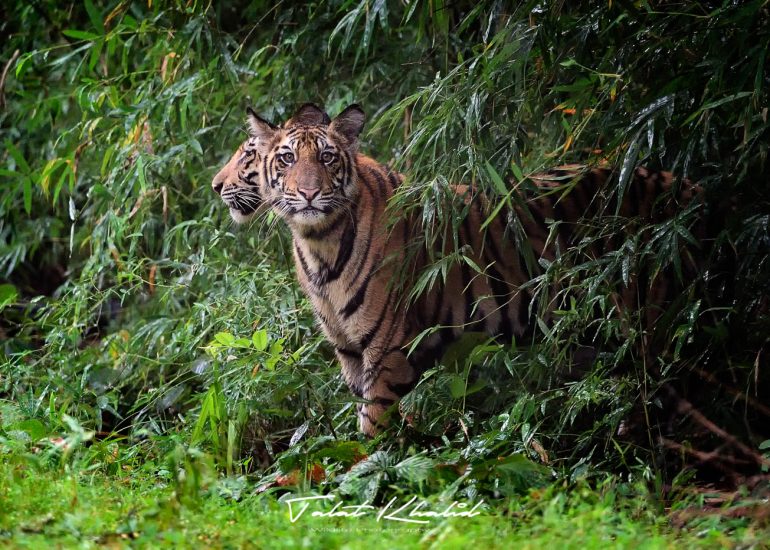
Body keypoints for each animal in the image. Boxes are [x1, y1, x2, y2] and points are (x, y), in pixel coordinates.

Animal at [211, 102, 705, 436]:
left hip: (649, 318)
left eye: (327, 158)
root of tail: (688, 185)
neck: (317, 244)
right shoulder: (349, 350)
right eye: (286, 159)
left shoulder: (387, 349)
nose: (216, 185)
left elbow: (372, 427)